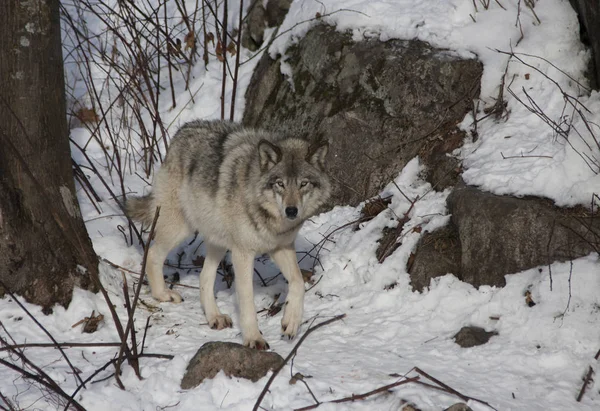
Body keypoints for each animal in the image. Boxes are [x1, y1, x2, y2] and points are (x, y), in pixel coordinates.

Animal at [127, 120, 332, 350]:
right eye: (280, 183)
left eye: (303, 183)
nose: (291, 211)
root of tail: (182, 131)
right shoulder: (242, 254)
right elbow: (247, 299)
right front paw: (253, 338)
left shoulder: (281, 247)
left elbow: (298, 283)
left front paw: (291, 323)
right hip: (180, 228)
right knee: (152, 254)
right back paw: (163, 294)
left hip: (218, 242)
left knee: (204, 277)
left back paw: (214, 317)